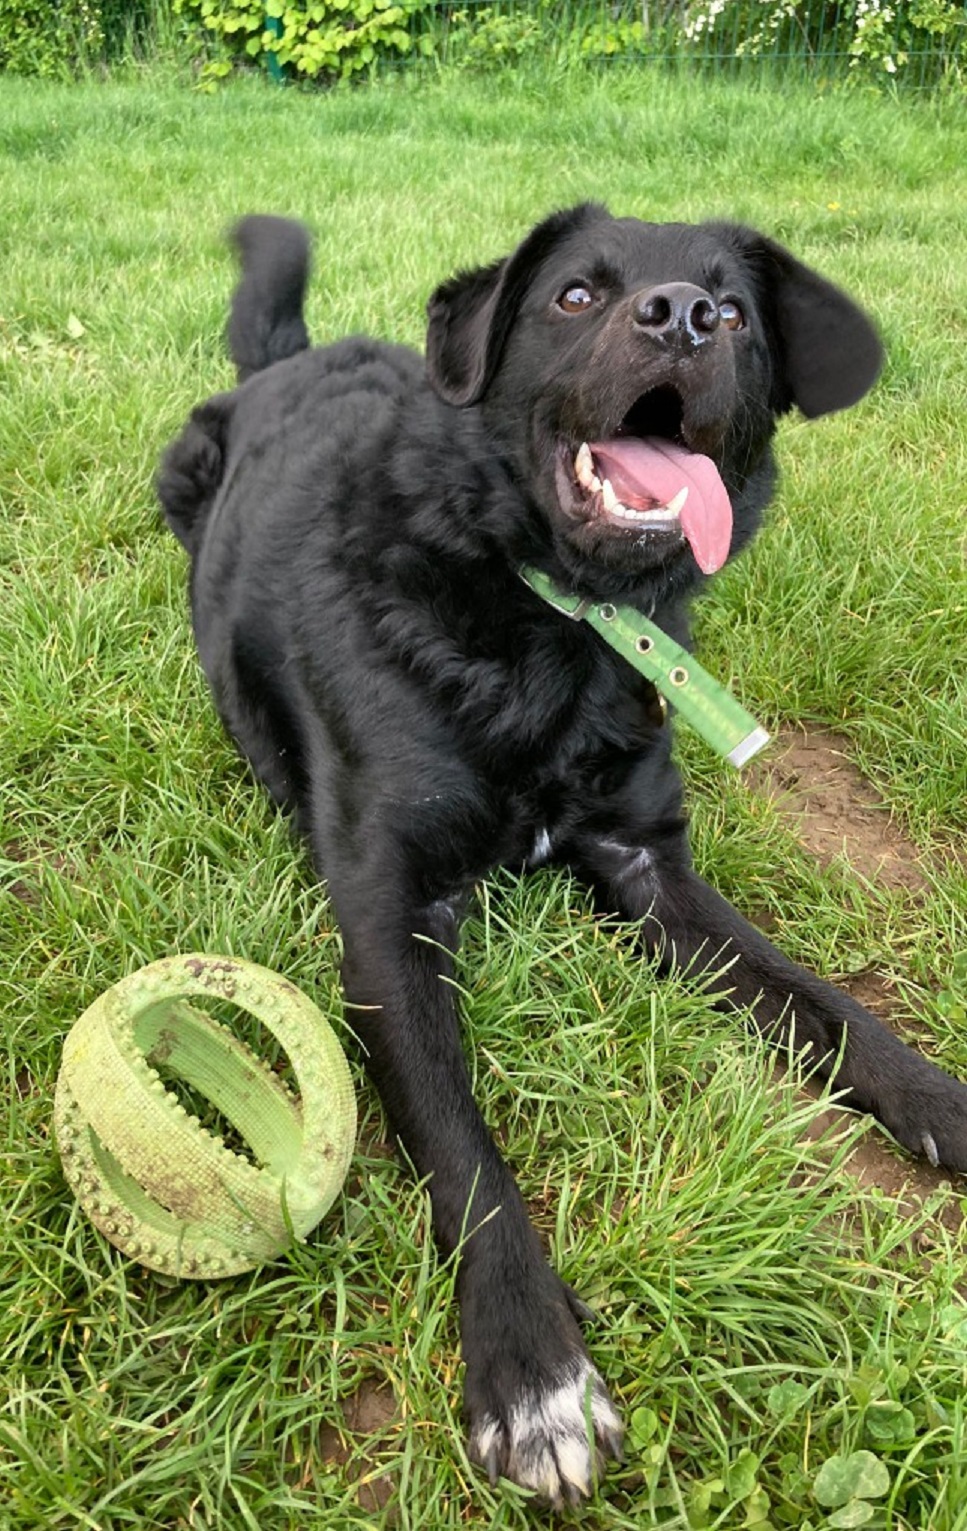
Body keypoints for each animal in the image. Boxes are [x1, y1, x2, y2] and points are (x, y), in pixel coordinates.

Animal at [158, 209, 967, 1512]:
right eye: (577, 294)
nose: (684, 315)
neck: (552, 617)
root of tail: (292, 357)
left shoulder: (648, 868)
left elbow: (821, 1001)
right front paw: (532, 1371)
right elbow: (460, 1144)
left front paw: (938, 1099)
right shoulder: (387, 920)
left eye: (740, 312)